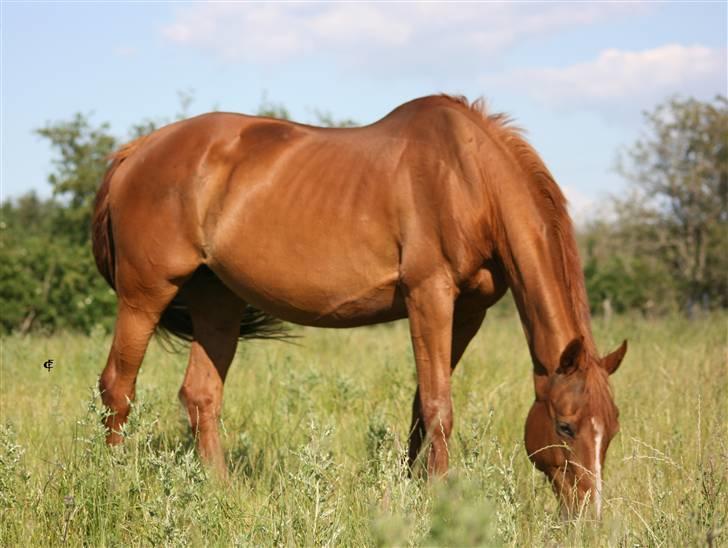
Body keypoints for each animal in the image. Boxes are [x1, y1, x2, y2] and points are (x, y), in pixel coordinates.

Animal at [91, 95, 624, 520]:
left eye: (612, 429)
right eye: (565, 425)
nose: (589, 518)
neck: (467, 177)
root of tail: (137, 150)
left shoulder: (468, 312)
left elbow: (421, 406)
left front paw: (413, 490)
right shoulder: (429, 295)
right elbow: (439, 406)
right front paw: (439, 501)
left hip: (217, 301)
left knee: (201, 396)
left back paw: (221, 492)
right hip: (145, 295)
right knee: (118, 388)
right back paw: (113, 484)